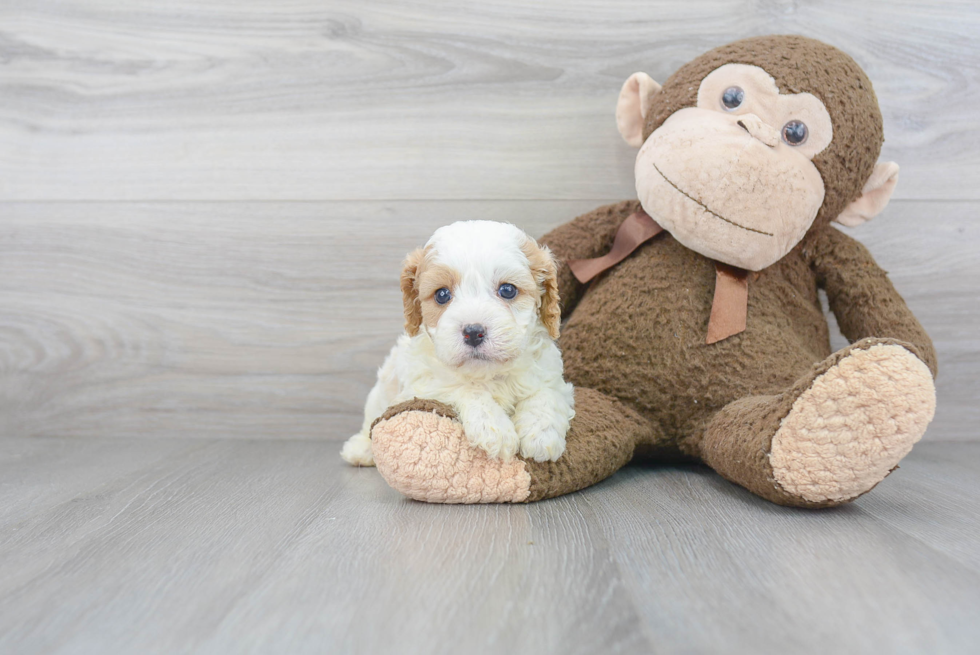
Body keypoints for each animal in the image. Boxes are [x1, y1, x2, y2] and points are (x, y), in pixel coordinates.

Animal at [342, 220, 576, 466]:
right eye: (442, 294)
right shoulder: (422, 386)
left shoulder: (551, 375)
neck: (488, 373)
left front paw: (541, 434)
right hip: (380, 393)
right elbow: (464, 388)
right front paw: (494, 429)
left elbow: (546, 393)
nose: (473, 332)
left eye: (508, 290)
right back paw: (360, 449)